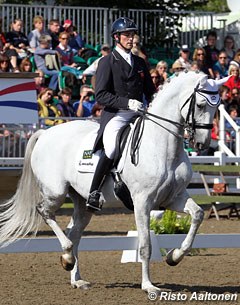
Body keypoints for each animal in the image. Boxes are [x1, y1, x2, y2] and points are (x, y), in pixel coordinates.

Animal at [0, 70, 227, 292]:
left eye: (216, 106)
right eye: (200, 105)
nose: (202, 143)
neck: (161, 147)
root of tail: (45, 132)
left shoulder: (174, 197)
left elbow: (197, 215)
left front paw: (174, 256)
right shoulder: (142, 202)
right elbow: (145, 246)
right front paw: (148, 286)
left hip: (82, 201)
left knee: (74, 232)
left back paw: (76, 276)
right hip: (55, 192)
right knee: (45, 212)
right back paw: (66, 257)